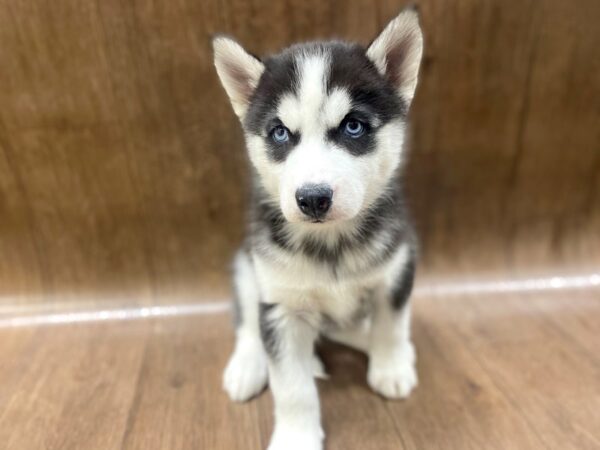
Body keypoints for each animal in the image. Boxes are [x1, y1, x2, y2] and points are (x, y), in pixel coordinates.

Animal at [212, 7, 422, 450]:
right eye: (279, 132)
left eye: (353, 127)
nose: (312, 198)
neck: (330, 243)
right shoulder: (279, 306)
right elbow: (292, 388)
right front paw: (296, 437)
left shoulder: (397, 268)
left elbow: (391, 324)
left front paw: (391, 364)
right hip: (245, 266)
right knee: (249, 324)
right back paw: (248, 364)